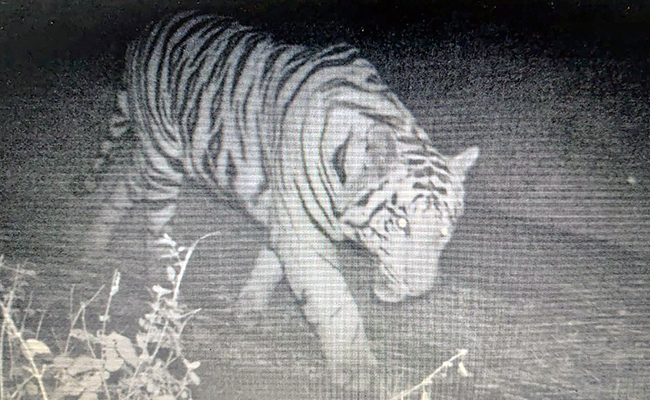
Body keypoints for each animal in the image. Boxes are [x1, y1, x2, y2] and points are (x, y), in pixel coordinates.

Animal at [83, 10, 479, 392]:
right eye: (400, 222)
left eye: (443, 232)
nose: (418, 289)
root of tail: (150, 27)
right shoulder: (303, 233)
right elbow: (336, 304)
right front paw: (359, 369)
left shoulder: (287, 219)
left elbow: (270, 262)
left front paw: (248, 308)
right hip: (164, 156)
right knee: (154, 224)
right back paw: (161, 284)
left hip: (153, 159)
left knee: (125, 185)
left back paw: (92, 243)